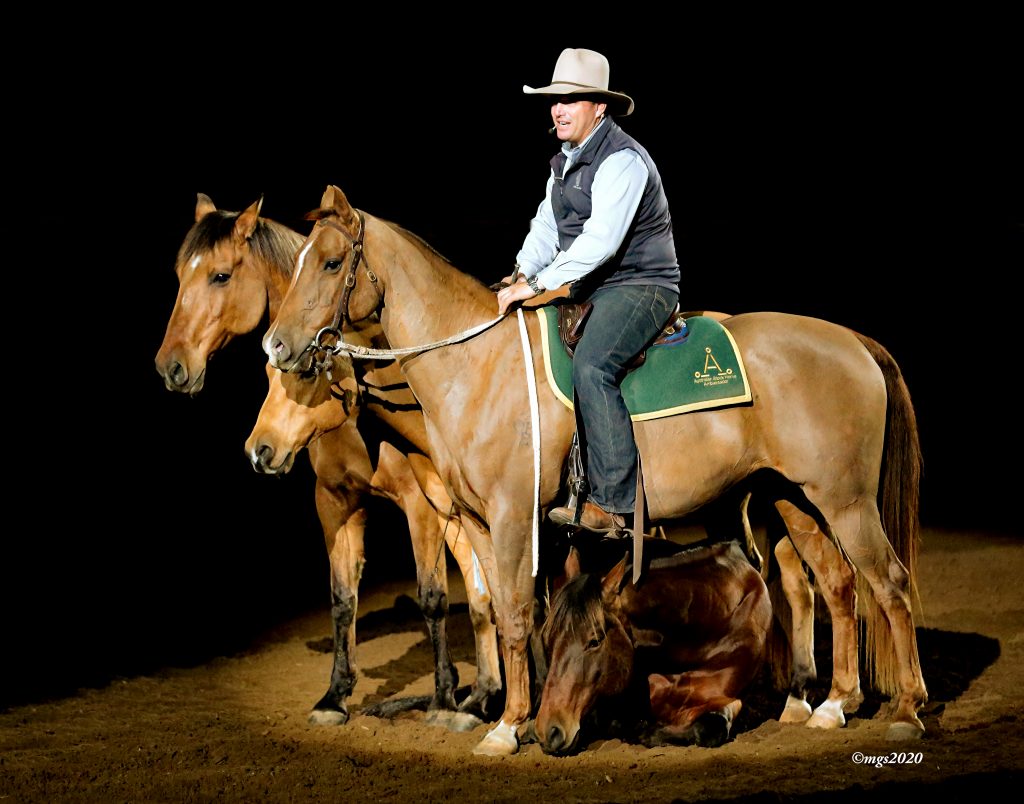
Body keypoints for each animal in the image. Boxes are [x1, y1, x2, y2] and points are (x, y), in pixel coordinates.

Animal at [153, 195, 501, 729]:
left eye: (220, 275)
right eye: (178, 275)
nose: (171, 366)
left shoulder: (419, 504)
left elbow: (434, 598)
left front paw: (442, 698)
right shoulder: (336, 501)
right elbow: (342, 600)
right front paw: (335, 696)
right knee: (484, 591)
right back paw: (485, 694)